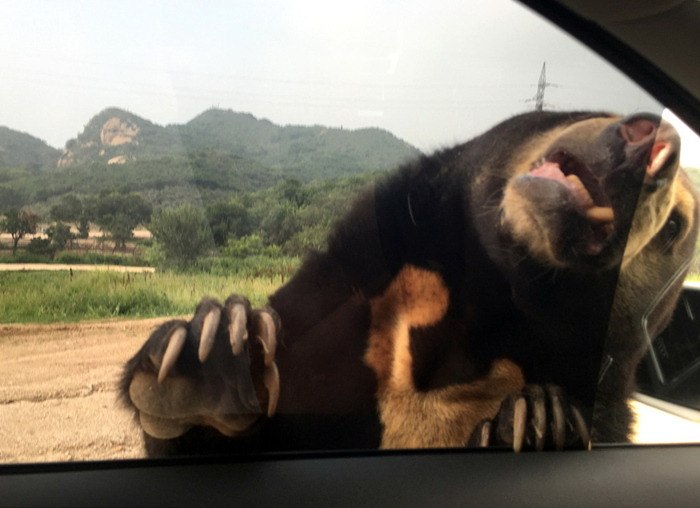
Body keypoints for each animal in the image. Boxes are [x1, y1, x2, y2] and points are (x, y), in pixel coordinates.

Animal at [121, 110, 700, 456]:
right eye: (604, 114)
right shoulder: (345, 296)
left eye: (676, 227)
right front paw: (207, 354)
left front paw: (539, 417)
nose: (653, 142)